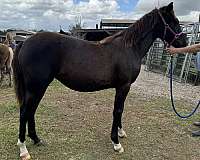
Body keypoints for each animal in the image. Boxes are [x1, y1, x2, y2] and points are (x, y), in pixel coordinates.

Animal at [13, 2, 186, 160]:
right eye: (174, 21)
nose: (184, 43)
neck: (129, 48)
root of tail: (25, 42)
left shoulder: (123, 87)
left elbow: (121, 109)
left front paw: (120, 132)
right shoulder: (123, 86)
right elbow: (118, 110)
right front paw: (116, 143)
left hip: (37, 88)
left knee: (31, 111)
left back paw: (36, 140)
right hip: (36, 87)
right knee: (25, 112)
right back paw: (23, 149)